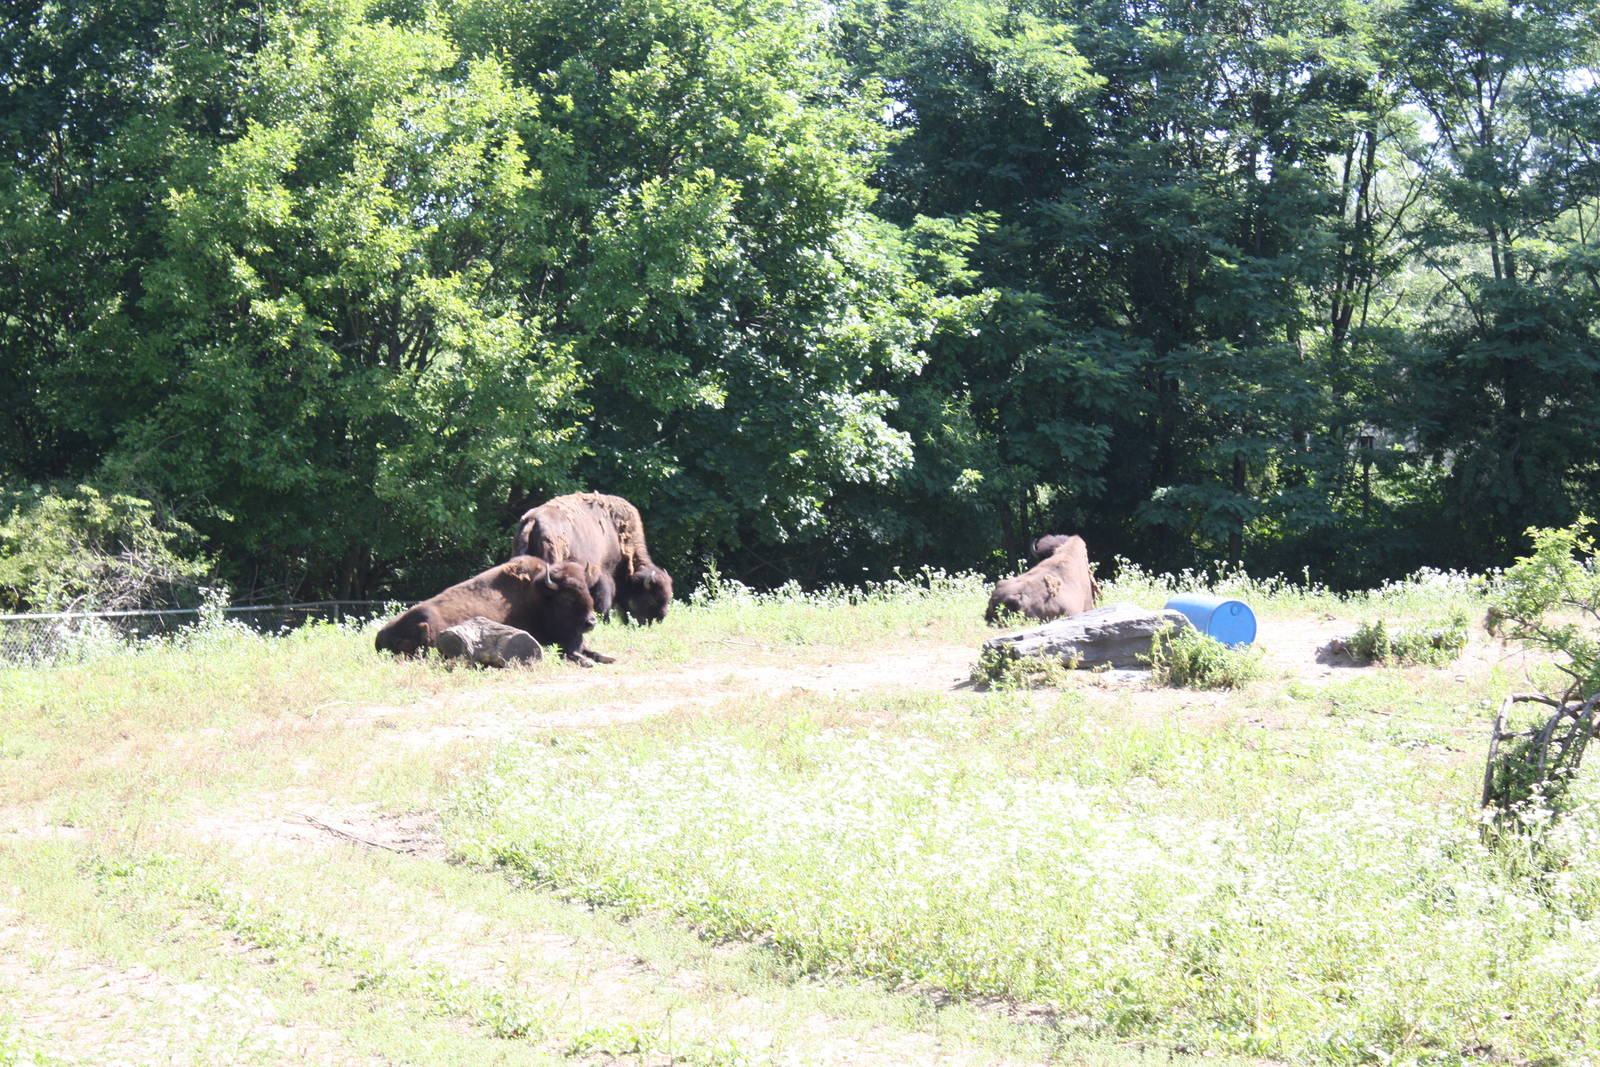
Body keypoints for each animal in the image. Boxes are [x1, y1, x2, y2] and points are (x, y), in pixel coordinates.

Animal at [375, 556, 614, 667]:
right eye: (566, 597)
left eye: (587, 590)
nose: (590, 622)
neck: (538, 598)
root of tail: (381, 636)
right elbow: (567, 652)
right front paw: (587, 661)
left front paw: (606, 657)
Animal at [511, 492, 673, 624]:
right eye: (651, 599)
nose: (660, 618)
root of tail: (532, 520)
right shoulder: (605, 574)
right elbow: (604, 600)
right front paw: (605, 621)